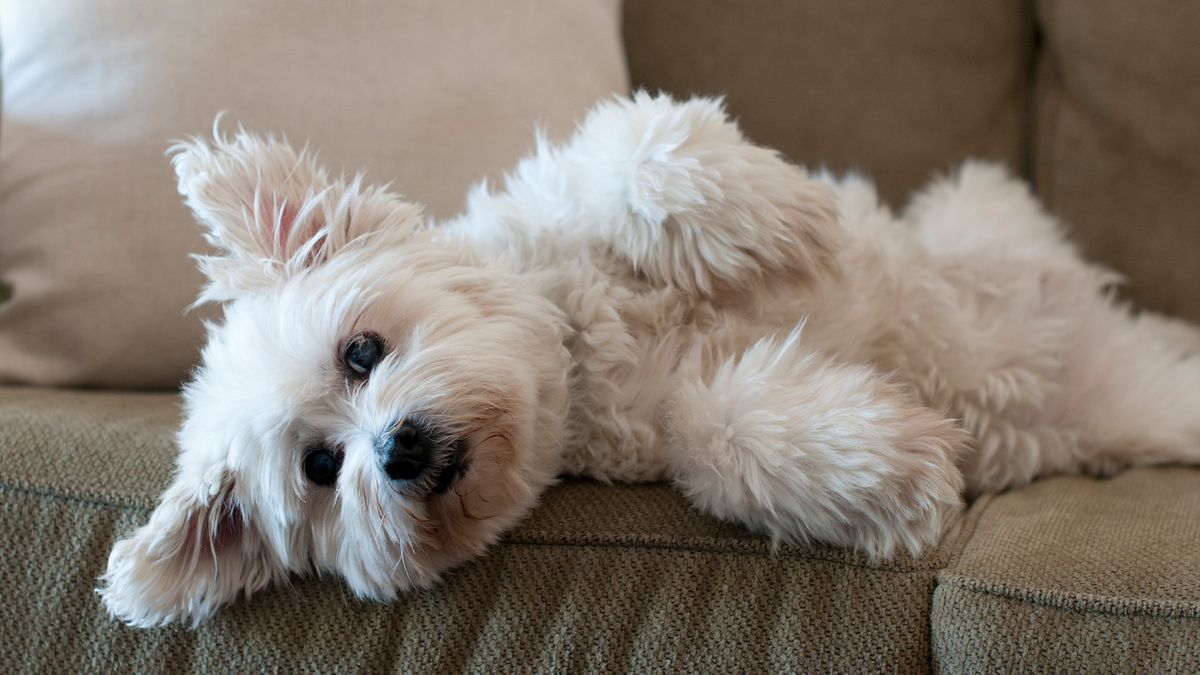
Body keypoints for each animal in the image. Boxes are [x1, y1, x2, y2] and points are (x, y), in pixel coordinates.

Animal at [98, 91, 1195, 624]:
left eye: (362, 350)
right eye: (321, 469)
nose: (397, 452)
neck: (585, 352)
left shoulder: (591, 189)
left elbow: (639, 156)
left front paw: (782, 221)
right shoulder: (673, 431)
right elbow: (727, 431)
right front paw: (890, 469)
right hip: (1143, 399)